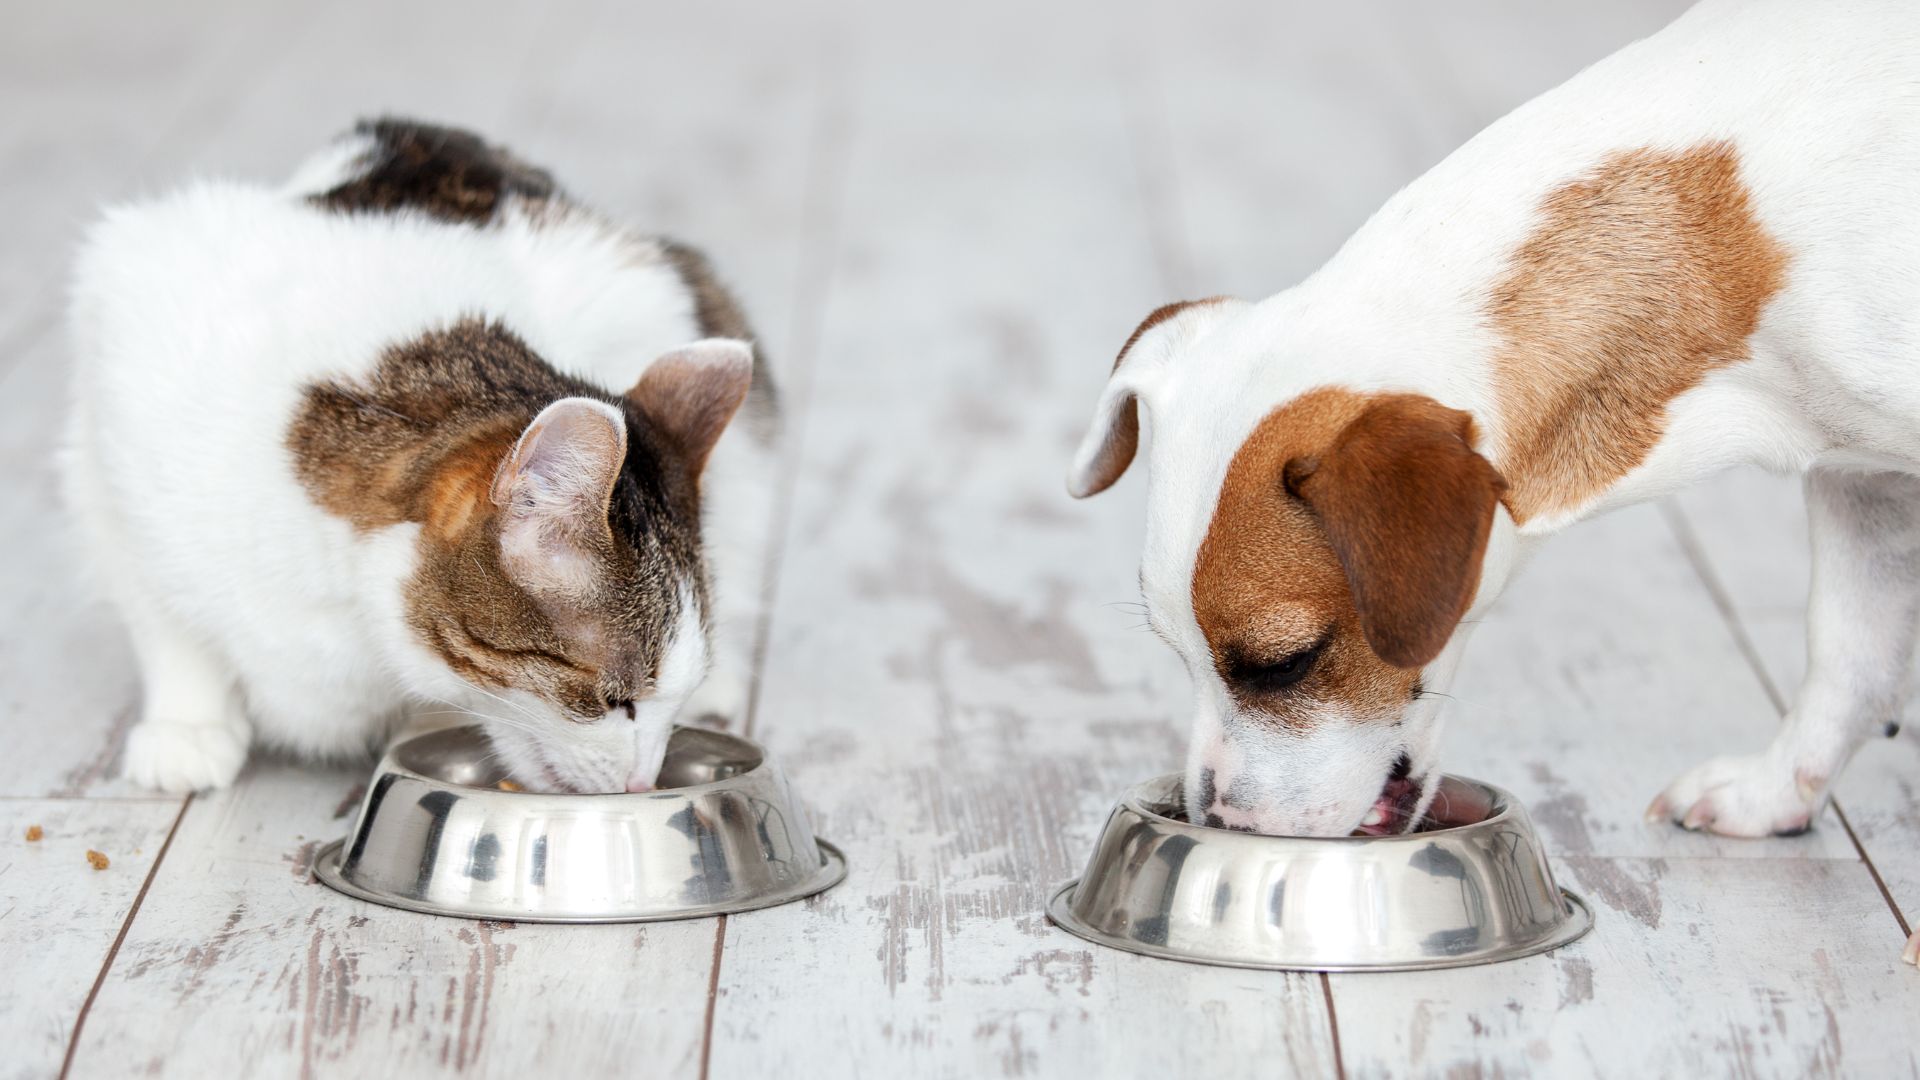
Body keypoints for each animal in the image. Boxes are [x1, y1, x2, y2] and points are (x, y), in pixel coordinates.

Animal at [63, 117, 775, 791]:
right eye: (615, 700)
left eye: (664, 704)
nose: (641, 781)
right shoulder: (113, 415)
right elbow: (162, 614)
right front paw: (187, 722)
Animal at [1067, 0, 1920, 960]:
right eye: (1174, 651)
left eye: (1285, 663)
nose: (1222, 825)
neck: (1737, 226)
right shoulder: (1863, 480)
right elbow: (1849, 656)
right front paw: (1776, 790)